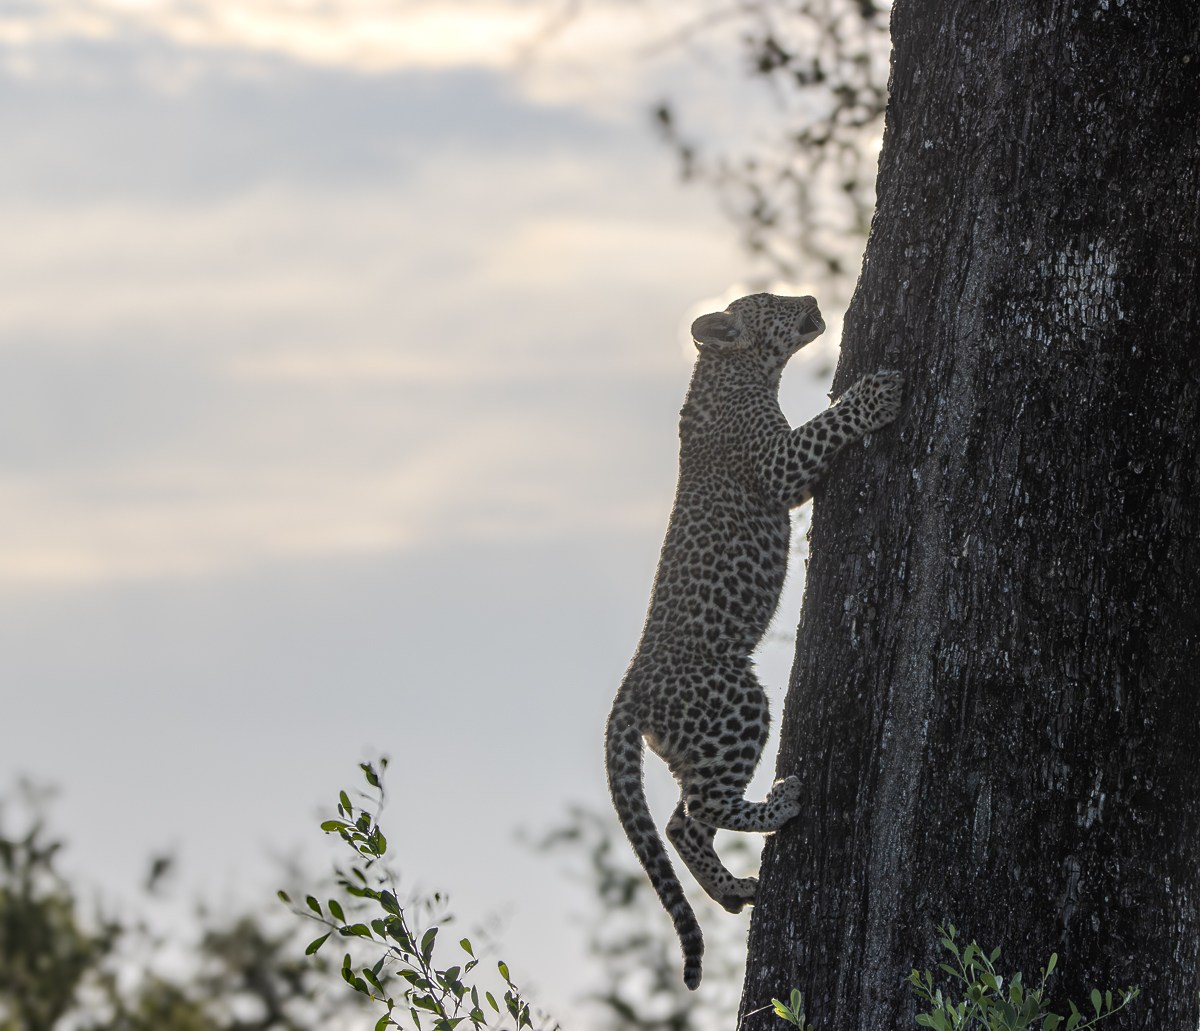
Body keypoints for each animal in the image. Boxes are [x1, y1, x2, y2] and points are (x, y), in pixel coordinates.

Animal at [604, 292, 904, 990]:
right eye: (769, 302)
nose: (813, 300)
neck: (731, 372)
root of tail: (629, 692)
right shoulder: (780, 463)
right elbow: (828, 424)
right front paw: (877, 393)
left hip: (697, 738)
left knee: (680, 822)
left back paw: (734, 890)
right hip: (733, 700)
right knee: (698, 811)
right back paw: (778, 807)